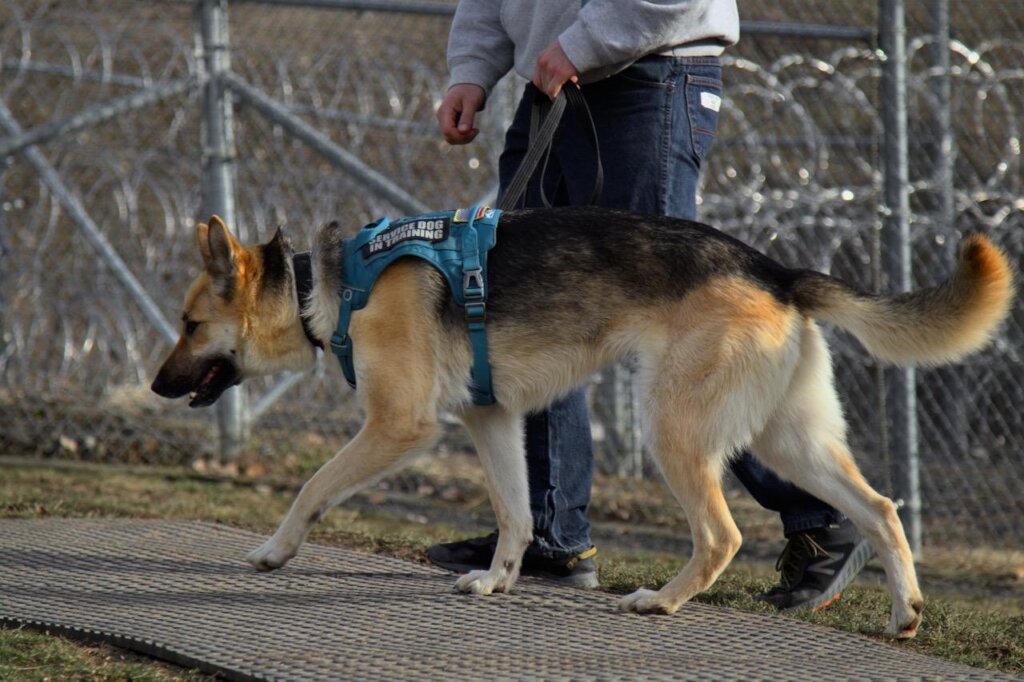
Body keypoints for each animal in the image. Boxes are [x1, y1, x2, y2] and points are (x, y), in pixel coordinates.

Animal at [153, 208, 1015, 638]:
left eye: (191, 326)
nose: (157, 386)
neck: (319, 285)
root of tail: (773, 268)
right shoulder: (492, 417)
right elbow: (512, 513)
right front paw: (498, 580)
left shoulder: (401, 427)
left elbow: (311, 487)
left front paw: (273, 551)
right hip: (789, 440)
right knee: (880, 508)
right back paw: (905, 611)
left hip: (673, 427)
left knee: (723, 534)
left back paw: (661, 603)